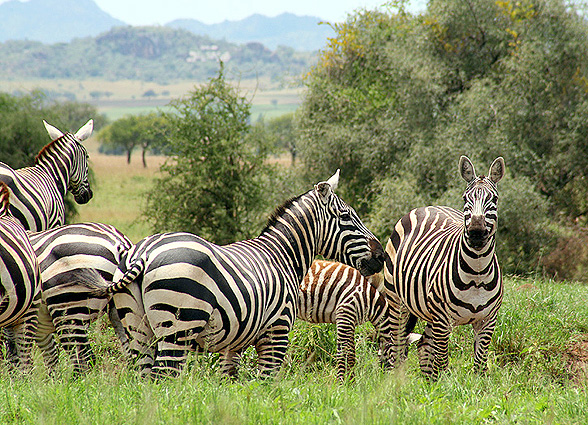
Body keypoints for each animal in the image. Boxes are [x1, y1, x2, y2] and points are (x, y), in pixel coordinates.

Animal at [94, 169, 384, 378]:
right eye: (346, 217)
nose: (381, 256)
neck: (282, 256)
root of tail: (144, 253)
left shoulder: (235, 342)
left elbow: (231, 382)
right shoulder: (277, 331)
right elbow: (266, 384)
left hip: (137, 329)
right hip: (178, 329)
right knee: (164, 378)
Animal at [382, 157, 506, 380]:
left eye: (494, 198)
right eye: (466, 198)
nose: (476, 232)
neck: (477, 273)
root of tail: (428, 206)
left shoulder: (487, 321)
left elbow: (480, 366)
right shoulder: (442, 319)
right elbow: (442, 362)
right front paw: (444, 388)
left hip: (429, 310)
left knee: (422, 344)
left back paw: (426, 381)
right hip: (396, 300)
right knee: (395, 345)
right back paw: (395, 380)